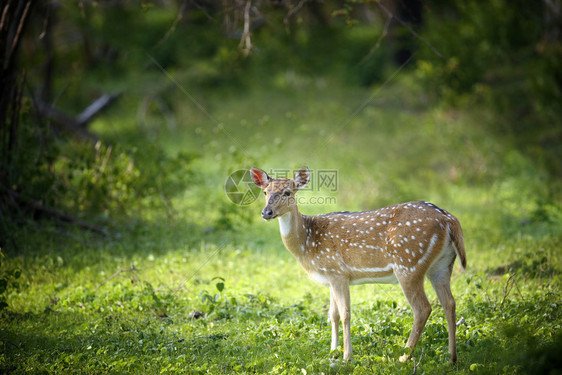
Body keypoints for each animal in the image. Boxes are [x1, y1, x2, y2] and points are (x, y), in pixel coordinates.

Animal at [249, 167, 464, 364]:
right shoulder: (331, 276)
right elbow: (333, 314)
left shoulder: (338, 272)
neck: (307, 242)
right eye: (265, 192)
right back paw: (451, 358)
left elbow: (345, 314)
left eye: (288, 192)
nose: (266, 212)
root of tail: (450, 220)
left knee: (423, 308)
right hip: (442, 266)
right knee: (449, 303)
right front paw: (332, 353)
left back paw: (404, 357)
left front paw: (346, 357)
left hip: (408, 264)